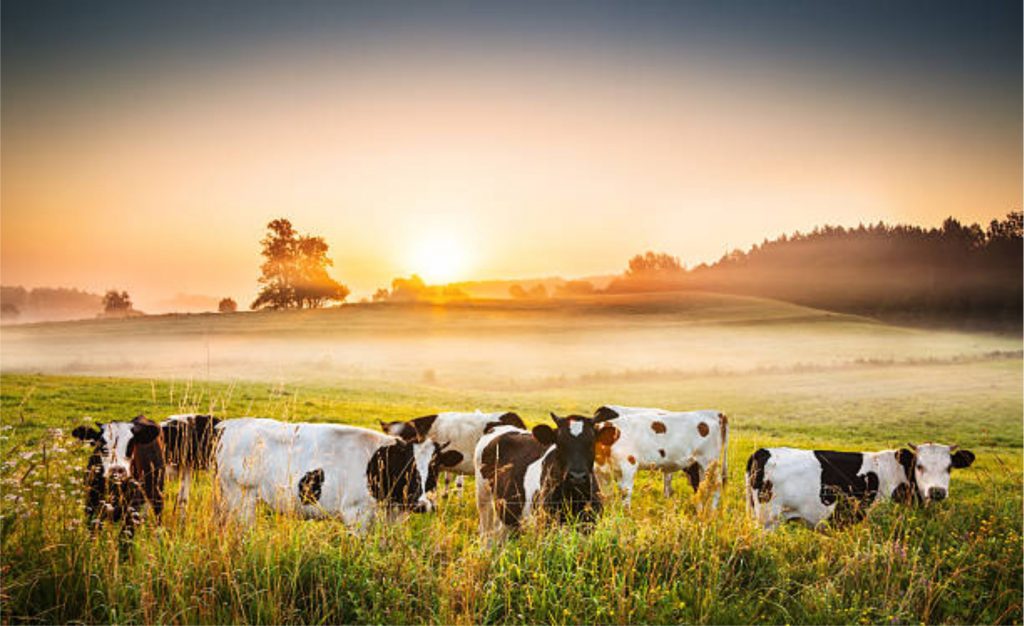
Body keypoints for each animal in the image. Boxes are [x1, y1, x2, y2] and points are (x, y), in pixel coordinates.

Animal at [216, 415, 464, 528]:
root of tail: (227, 424)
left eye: (434, 467)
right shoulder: (356, 514)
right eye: (408, 465)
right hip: (240, 495)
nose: (422, 505)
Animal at [473, 411, 622, 536]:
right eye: (560, 444)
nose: (577, 476)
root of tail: (499, 428)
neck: (574, 498)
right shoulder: (547, 524)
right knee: (486, 534)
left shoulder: (589, 525)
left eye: (591, 443)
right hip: (484, 499)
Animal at [585, 405, 729, 510]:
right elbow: (609, 494)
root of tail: (715, 413)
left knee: (715, 486)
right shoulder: (605, 471)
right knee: (702, 486)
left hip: (709, 461)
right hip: (698, 464)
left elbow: (625, 493)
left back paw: (711, 513)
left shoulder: (628, 466)